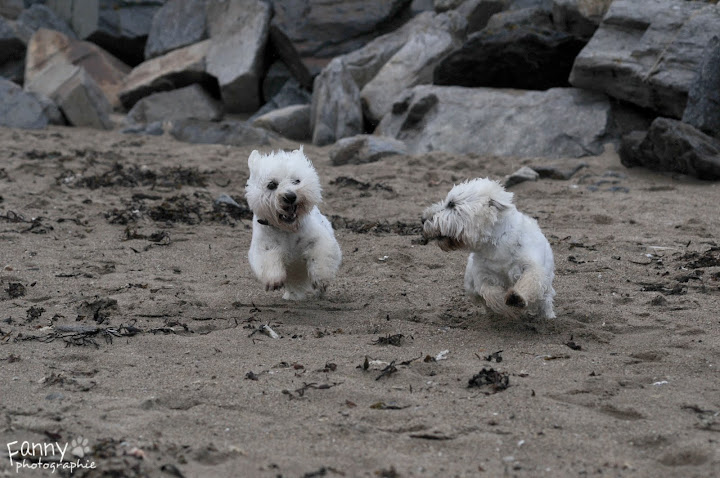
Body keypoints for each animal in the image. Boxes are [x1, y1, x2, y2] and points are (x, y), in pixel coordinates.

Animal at [246, 148, 342, 300]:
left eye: (296, 180)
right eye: (271, 184)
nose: (290, 196)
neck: (288, 228)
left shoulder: (318, 238)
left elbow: (320, 255)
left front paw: (321, 279)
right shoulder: (264, 245)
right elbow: (267, 258)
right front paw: (273, 281)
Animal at [422, 177, 556, 320]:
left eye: (452, 204)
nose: (423, 219)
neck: (495, 243)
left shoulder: (532, 266)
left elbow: (529, 279)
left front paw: (516, 298)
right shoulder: (483, 276)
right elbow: (490, 293)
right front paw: (507, 309)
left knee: (545, 301)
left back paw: (548, 317)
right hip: (470, 284)